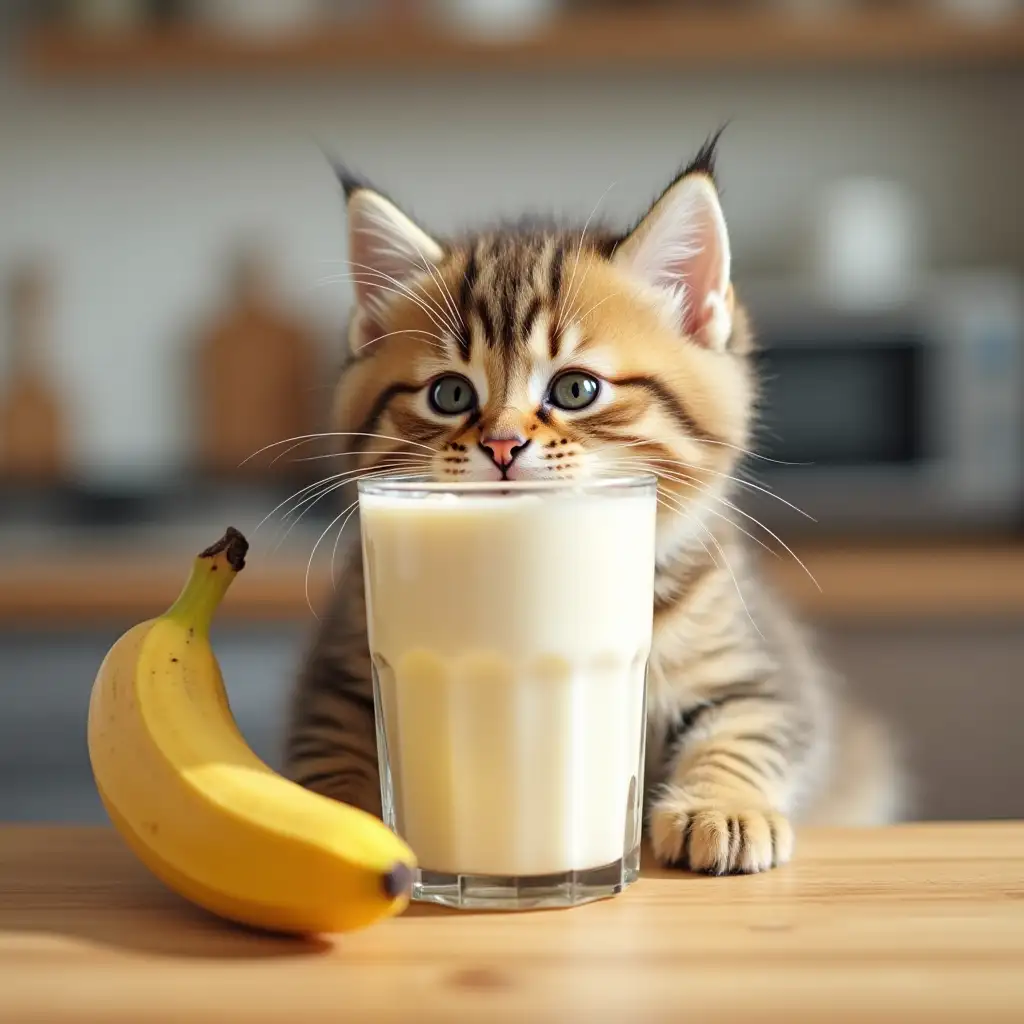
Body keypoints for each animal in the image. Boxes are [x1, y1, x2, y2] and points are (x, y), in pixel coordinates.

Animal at [282, 134, 905, 872]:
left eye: (576, 389)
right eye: (450, 395)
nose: (501, 444)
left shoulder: (764, 666)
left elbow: (752, 727)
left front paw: (720, 807)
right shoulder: (340, 668)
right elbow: (333, 745)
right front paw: (331, 820)